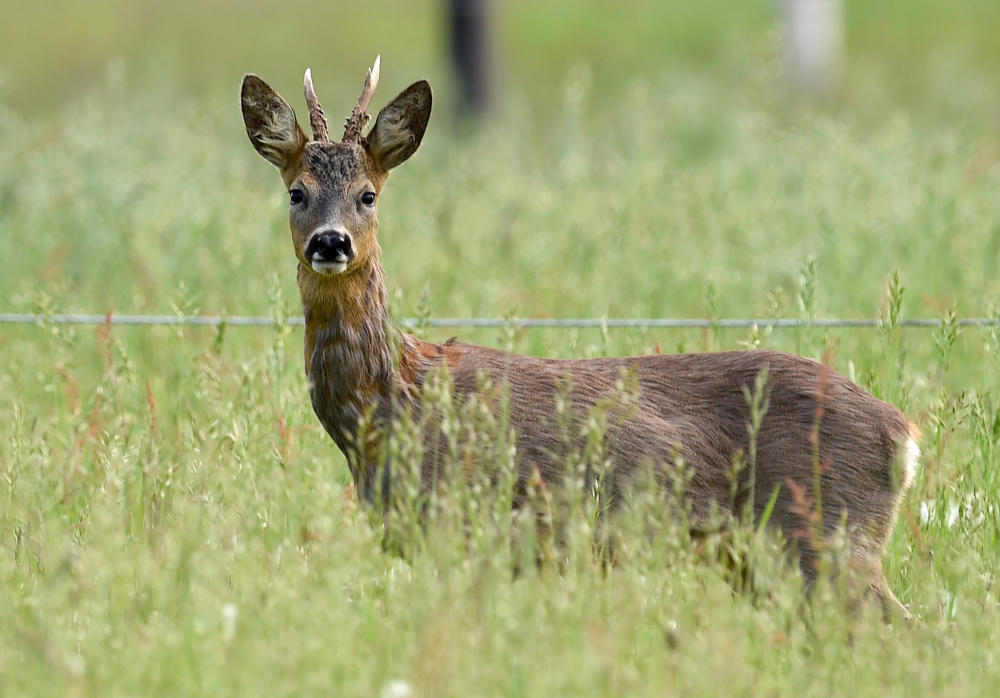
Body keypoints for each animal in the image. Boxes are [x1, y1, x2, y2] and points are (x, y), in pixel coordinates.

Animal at [240, 58, 920, 616]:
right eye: (296, 191)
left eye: (368, 195)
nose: (331, 242)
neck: (393, 401)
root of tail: (905, 434)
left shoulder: (472, 524)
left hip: (826, 532)